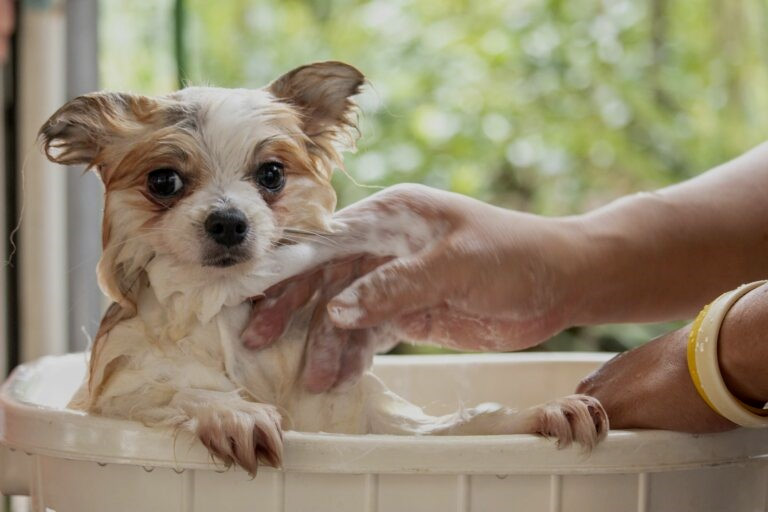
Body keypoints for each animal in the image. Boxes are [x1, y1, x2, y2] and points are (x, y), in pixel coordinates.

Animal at [40, 62, 608, 474]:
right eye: (164, 181)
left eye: (271, 175)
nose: (228, 221)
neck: (219, 307)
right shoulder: (112, 399)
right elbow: (174, 391)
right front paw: (233, 411)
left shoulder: (357, 419)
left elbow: (455, 427)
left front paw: (539, 414)